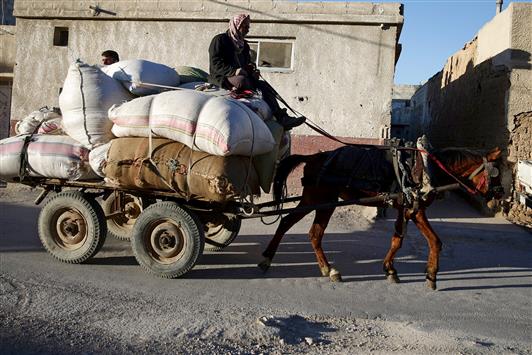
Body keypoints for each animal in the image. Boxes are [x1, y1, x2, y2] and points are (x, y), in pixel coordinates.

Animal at [258, 143, 502, 290]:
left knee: (302, 228)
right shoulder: (416, 210)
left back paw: (319, 268)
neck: (428, 171)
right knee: (298, 227)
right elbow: (435, 241)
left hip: (320, 201)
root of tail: (313, 157)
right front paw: (431, 276)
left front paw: (390, 270)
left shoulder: (404, 208)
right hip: (318, 200)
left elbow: (397, 240)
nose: (500, 198)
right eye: (496, 174)